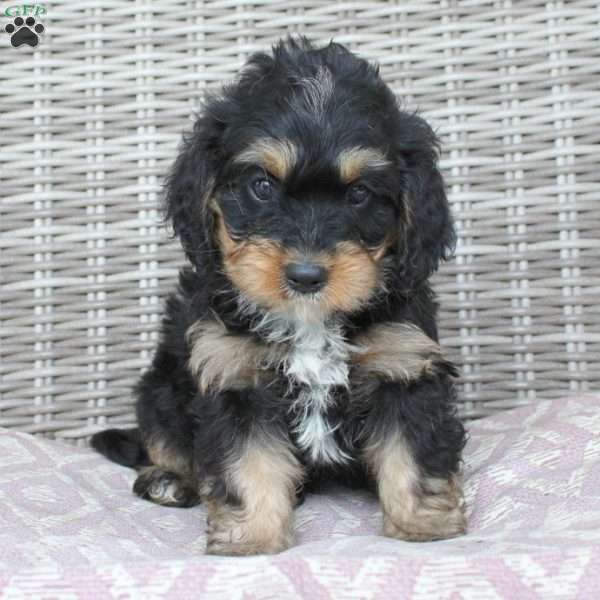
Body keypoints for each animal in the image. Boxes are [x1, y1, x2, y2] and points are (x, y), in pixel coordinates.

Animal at [92, 36, 468, 552]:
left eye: (359, 195)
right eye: (262, 186)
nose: (306, 275)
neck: (309, 318)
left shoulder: (403, 363)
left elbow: (412, 452)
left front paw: (424, 528)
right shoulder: (234, 373)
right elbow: (248, 464)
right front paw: (252, 538)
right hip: (161, 389)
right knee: (162, 439)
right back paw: (167, 480)